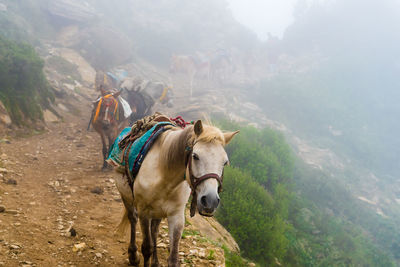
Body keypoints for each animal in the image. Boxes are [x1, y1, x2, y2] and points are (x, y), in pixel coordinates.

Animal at [107, 114, 238, 266]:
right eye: (195, 156)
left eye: (225, 162)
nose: (210, 201)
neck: (165, 175)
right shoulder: (144, 212)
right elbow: (146, 247)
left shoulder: (176, 215)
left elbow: (173, 257)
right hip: (126, 196)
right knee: (132, 218)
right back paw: (133, 255)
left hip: (157, 211)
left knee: (155, 230)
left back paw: (155, 262)